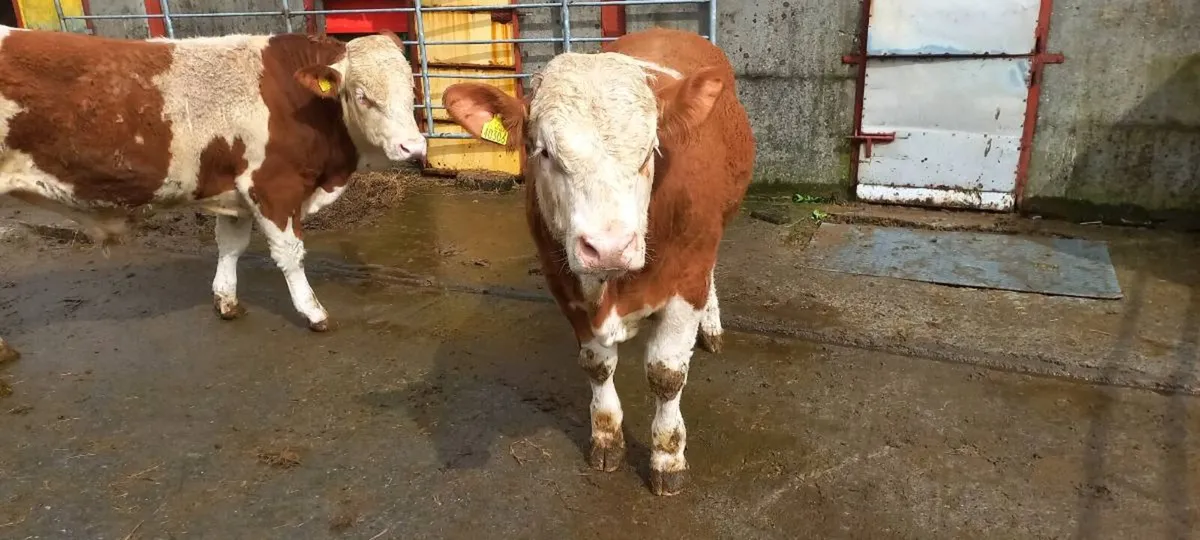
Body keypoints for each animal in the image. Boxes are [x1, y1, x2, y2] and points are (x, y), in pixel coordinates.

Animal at [0, 26, 426, 360]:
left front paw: (226, 300)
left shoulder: (235, 194)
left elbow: (231, 247)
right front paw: (313, 312)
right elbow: (290, 254)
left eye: (412, 89)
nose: (413, 146)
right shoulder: (272, 185)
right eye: (362, 95)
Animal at [441, 28, 755, 495]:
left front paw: (668, 457)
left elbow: (666, 374)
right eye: (544, 152)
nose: (609, 247)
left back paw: (712, 325)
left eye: (649, 150)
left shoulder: (686, 279)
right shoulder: (564, 283)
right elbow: (597, 365)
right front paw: (606, 436)